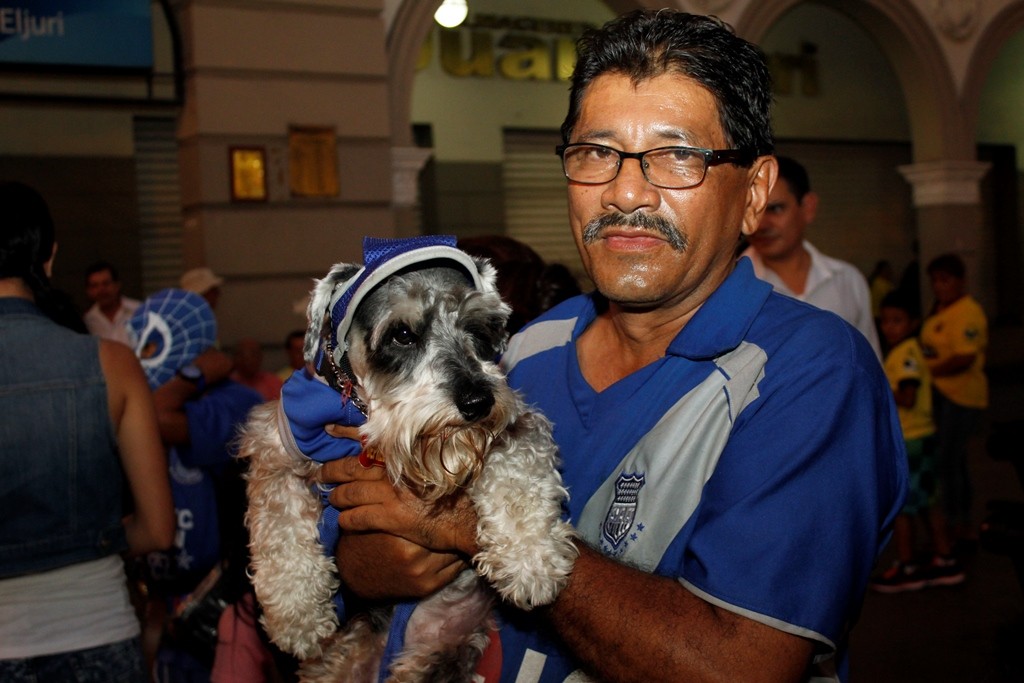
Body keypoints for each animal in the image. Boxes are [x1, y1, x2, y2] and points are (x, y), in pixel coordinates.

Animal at [237, 237, 577, 679]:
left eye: (479, 328)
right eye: (402, 334)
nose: (477, 401)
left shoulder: (515, 426)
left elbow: (519, 477)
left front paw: (530, 560)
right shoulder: (277, 446)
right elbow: (279, 527)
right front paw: (297, 619)